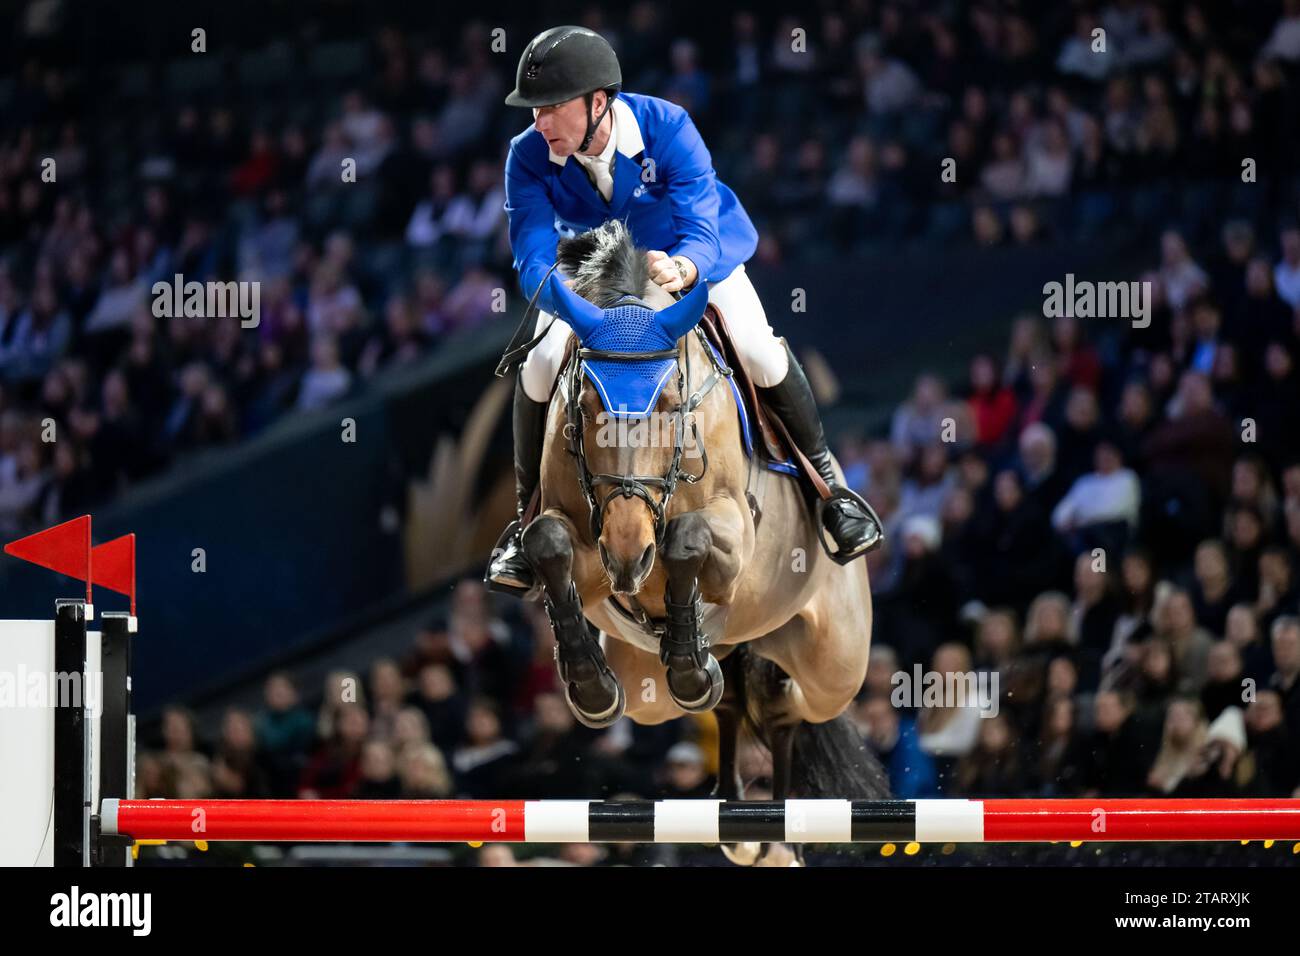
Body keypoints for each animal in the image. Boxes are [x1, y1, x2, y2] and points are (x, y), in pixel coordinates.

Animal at [517, 221, 894, 863]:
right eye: (586, 405)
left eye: (672, 403)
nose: (629, 553)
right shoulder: (589, 550)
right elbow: (548, 543)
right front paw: (591, 685)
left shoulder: (733, 531)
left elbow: (687, 540)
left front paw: (683, 636)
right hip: (651, 690)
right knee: (731, 699)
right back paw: (738, 811)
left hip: (836, 664)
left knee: (787, 703)